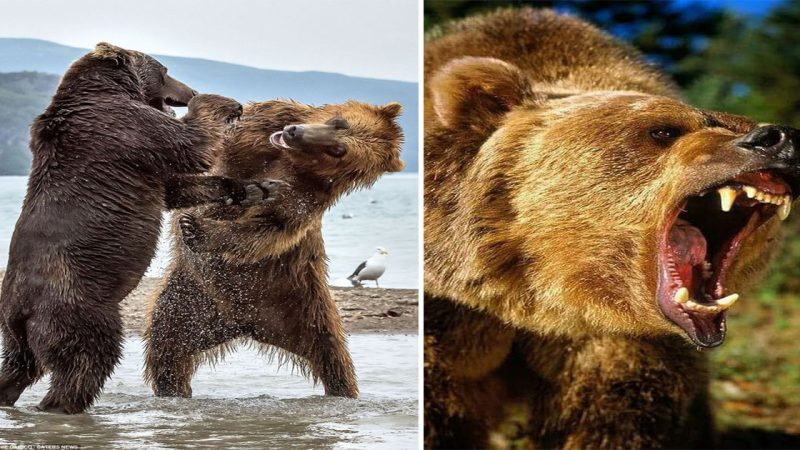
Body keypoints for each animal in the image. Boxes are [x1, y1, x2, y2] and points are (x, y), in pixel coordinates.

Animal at [0, 44, 282, 414]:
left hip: (15, 330)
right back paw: (63, 405)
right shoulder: (128, 128)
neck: (108, 89)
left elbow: (177, 186)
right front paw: (219, 103)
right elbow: (191, 143)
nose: (188, 91)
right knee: (87, 359)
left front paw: (256, 188)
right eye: (165, 70)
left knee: (18, 365)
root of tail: (22, 309)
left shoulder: (143, 156)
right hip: (77, 306)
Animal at [142, 98, 406, 398]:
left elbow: (269, 229)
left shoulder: (305, 197)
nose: (294, 132)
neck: (292, 161)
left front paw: (196, 227)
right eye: (338, 122)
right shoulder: (256, 131)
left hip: (305, 308)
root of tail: (245, 324)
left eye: (338, 151)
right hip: (190, 304)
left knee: (334, 359)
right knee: (168, 348)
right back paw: (173, 389)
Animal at [424, 7, 800, 450]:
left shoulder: (620, 341)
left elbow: (614, 413)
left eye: (736, 120)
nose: (778, 137)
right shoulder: (450, 311)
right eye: (664, 130)